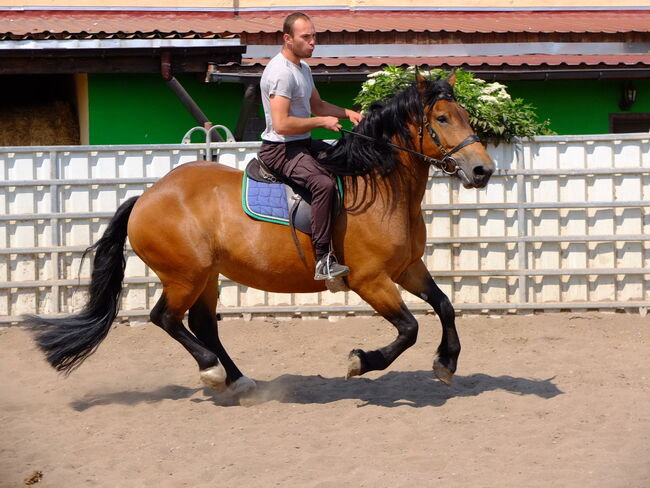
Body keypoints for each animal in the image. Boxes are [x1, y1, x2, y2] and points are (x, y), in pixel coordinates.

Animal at [25, 72, 492, 396]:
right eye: (442, 118)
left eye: (466, 116)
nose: (483, 170)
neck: (379, 187)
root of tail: (147, 196)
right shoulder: (370, 279)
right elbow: (409, 328)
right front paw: (361, 361)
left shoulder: (407, 268)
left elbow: (445, 306)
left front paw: (446, 363)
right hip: (184, 275)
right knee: (166, 318)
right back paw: (213, 371)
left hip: (206, 276)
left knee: (202, 324)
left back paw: (238, 379)